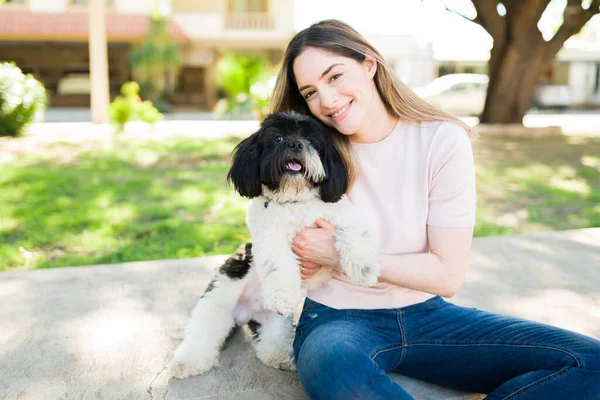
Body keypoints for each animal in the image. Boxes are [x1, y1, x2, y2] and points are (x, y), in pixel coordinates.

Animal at [170, 111, 380, 378]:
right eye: (278, 138)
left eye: (309, 141)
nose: (295, 144)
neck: (294, 201)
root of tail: (245, 314)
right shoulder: (269, 236)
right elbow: (280, 263)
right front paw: (282, 295)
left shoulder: (342, 216)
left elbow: (355, 235)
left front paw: (364, 269)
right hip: (219, 298)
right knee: (203, 330)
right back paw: (188, 361)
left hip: (274, 321)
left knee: (272, 341)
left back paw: (281, 357)